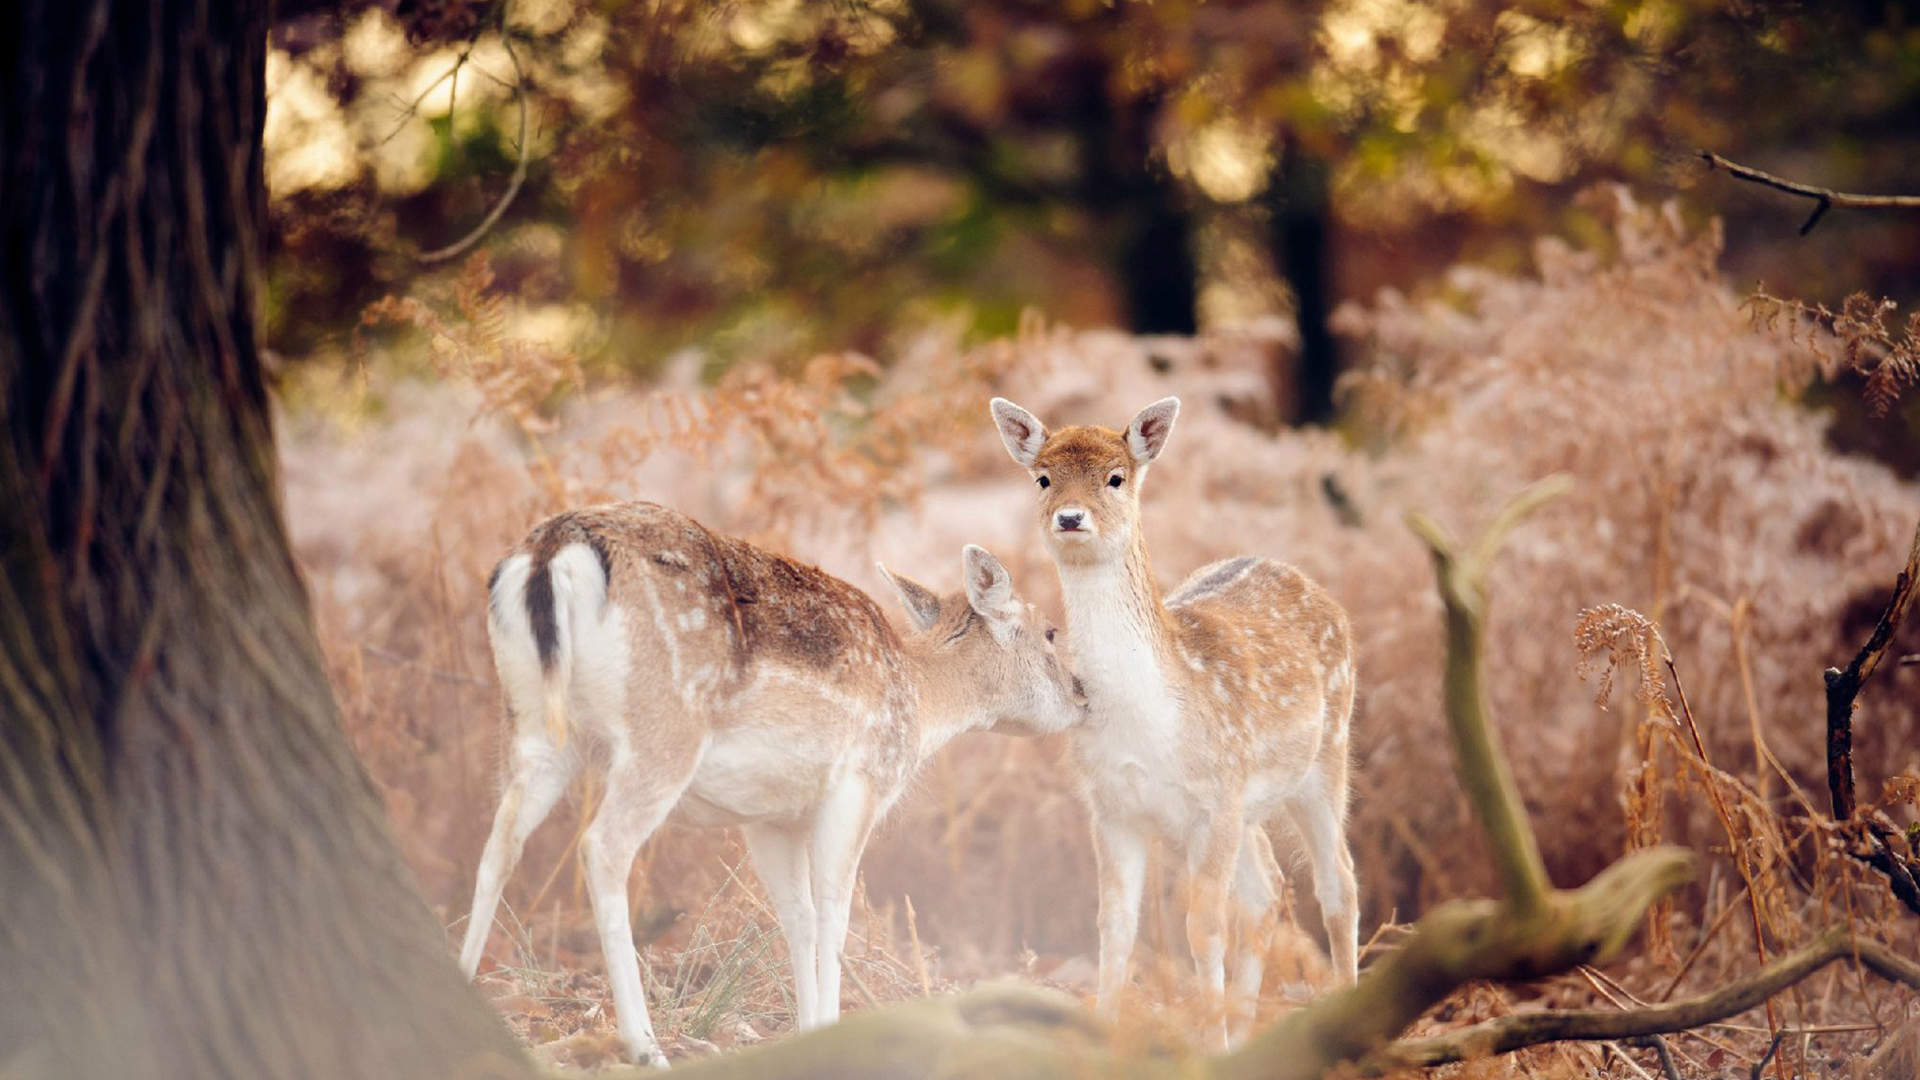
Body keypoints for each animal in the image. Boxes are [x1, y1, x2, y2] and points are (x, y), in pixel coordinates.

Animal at [455, 501, 1086, 1066]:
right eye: (1052, 632)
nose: (1083, 695)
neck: (920, 701)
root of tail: (551, 548)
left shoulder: (769, 817)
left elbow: (797, 916)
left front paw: (809, 1031)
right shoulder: (857, 783)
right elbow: (835, 913)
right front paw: (832, 1028)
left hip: (535, 723)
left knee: (498, 844)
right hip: (662, 729)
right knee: (602, 846)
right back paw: (645, 1045)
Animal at [989, 396, 1359, 1048]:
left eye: (1116, 477)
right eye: (1043, 478)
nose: (1070, 518)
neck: (1150, 722)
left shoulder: (1215, 798)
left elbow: (1202, 926)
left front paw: (1211, 1044)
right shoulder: (1111, 807)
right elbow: (1115, 927)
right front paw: (1108, 1035)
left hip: (1328, 750)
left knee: (1338, 882)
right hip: (1251, 805)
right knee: (1267, 888)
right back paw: (1246, 1030)